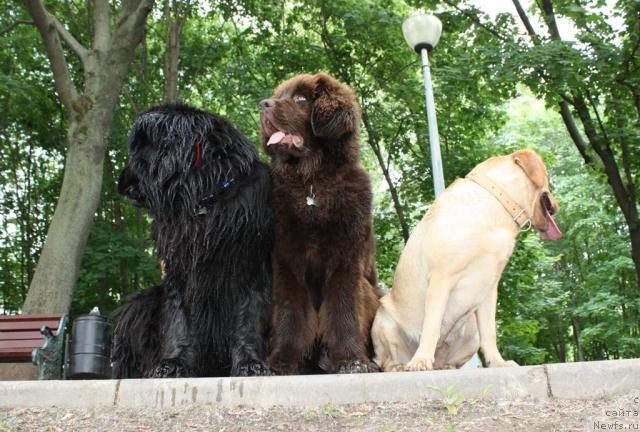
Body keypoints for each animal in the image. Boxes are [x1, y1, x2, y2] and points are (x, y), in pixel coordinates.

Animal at [112, 103, 272, 376]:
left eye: (140, 152)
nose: (121, 185)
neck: (203, 201)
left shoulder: (251, 267)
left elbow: (247, 318)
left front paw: (250, 363)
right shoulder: (179, 271)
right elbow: (180, 320)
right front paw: (173, 363)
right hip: (142, 303)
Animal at [260, 72, 380, 372]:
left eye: (301, 99)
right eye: (278, 96)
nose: (263, 104)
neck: (312, 182)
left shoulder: (346, 258)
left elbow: (342, 309)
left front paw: (351, 360)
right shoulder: (286, 260)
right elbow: (292, 313)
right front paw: (282, 361)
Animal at [370, 148, 560, 372]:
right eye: (548, 176)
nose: (556, 206)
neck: (497, 204)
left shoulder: (490, 288)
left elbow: (490, 333)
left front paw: (498, 362)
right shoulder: (441, 277)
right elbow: (431, 325)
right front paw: (421, 360)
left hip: (471, 331)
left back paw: (445, 367)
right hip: (384, 321)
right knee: (386, 361)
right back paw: (403, 365)